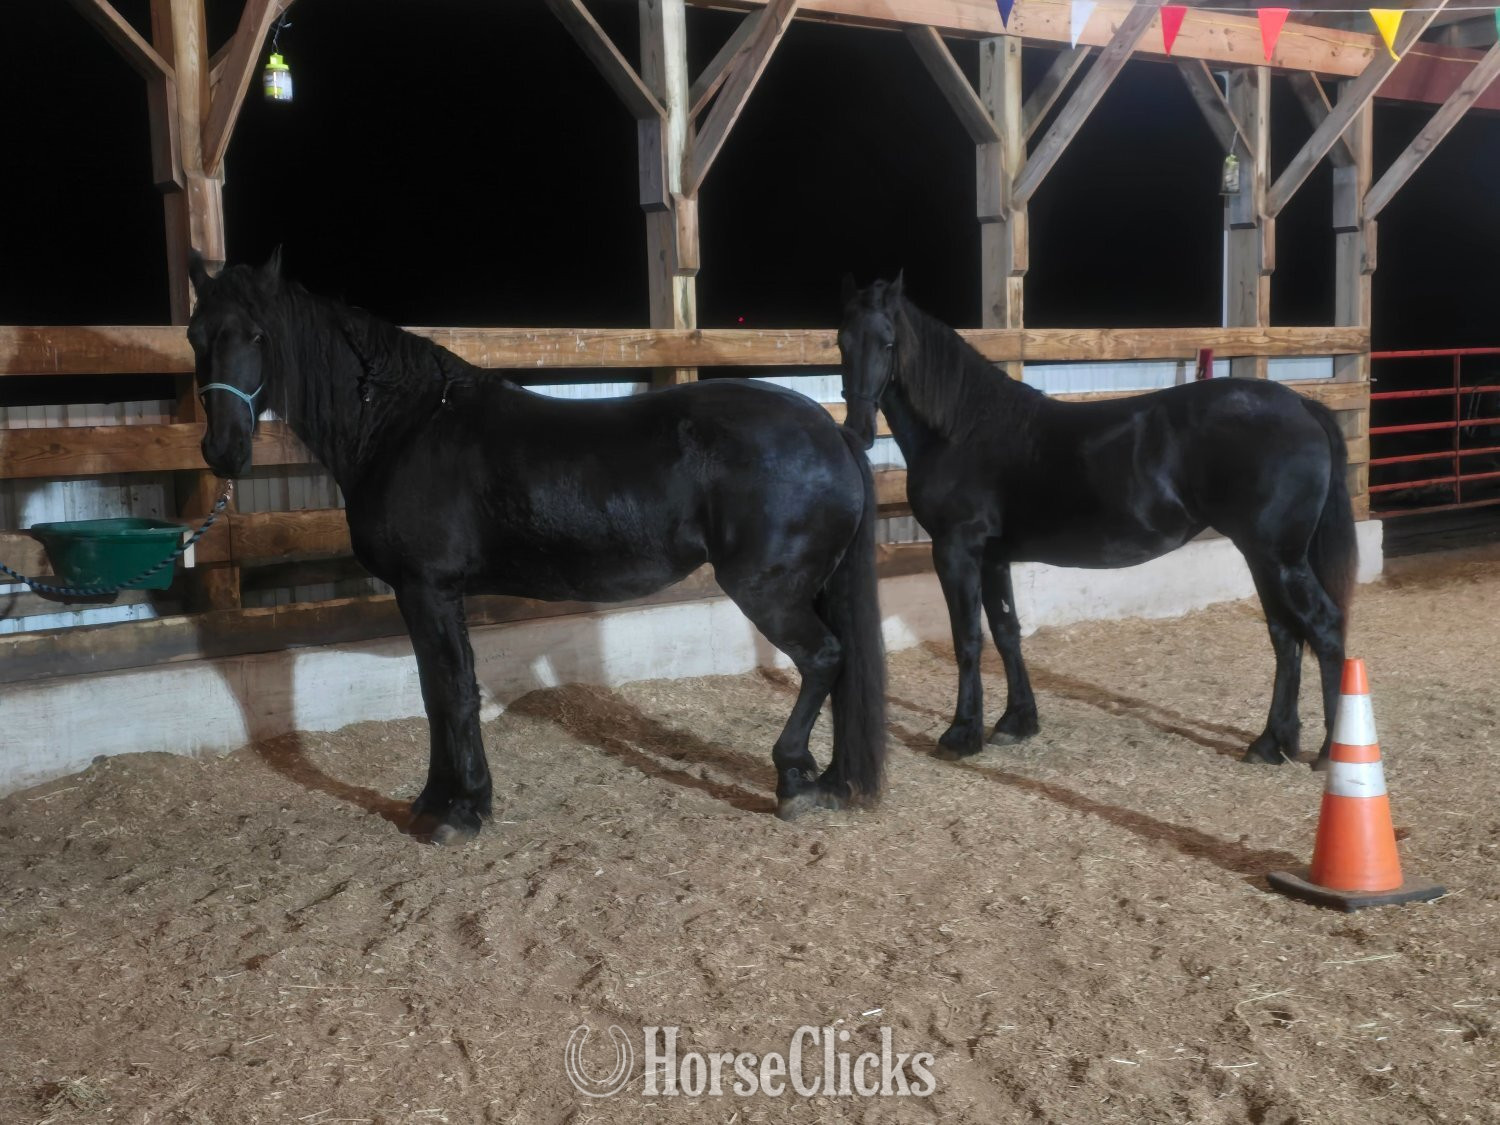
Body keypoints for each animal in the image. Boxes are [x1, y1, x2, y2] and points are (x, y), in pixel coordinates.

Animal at [185, 251, 886, 842]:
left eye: (258, 335)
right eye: (195, 336)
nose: (224, 451)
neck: (406, 428)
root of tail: (830, 431)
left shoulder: (427, 588)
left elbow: (450, 693)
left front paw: (457, 812)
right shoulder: (430, 594)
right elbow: (441, 692)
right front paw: (441, 801)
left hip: (768, 590)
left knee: (824, 658)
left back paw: (794, 780)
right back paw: (827, 780)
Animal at [837, 274, 1357, 770]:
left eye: (888, 343)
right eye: (842, 340)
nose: (857, 430)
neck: (963, 430)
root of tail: (1301, 406)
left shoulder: (956, 550)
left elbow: (967, 639)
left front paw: (961, 735)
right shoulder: (992, 557)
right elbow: (1007, 632)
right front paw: (1016, 721)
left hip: (1276, 557)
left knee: (1324, 626)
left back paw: (1330, 752)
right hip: (1266, 557)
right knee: (1286, 635)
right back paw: (1272, 743)